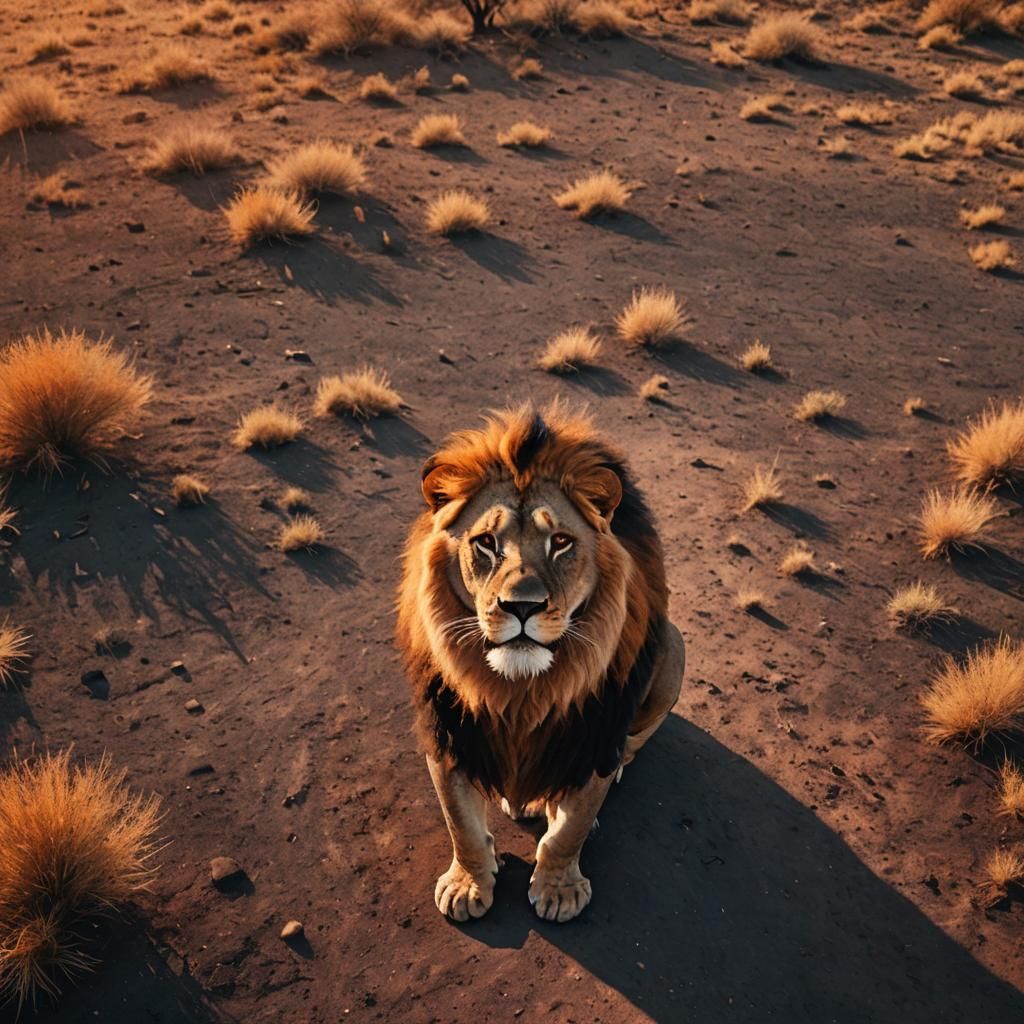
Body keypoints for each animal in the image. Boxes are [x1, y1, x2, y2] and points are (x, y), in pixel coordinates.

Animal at [396, 403, 685, 923]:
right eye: (486, 542)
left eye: (562, 543)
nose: (522, 606)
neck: (521, 691)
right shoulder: (449, 733)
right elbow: (460, 823)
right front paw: (468, 884)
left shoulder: (594, 736)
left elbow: (570, 829)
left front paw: (558, 889)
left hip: (673, 649)